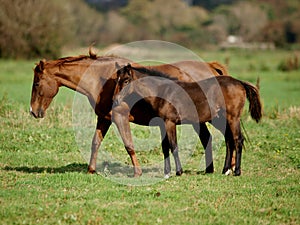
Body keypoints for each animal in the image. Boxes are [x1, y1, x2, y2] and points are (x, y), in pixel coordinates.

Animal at [29, 50, 227, 177]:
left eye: (37, 83)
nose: (33, 111)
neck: (101, 79)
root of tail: (209, 67)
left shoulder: (119, 117)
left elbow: (129, 145)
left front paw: (137, 172)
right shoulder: (104, 118)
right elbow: (95, 142)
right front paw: (91, 169)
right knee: (207, 138)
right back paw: (210, 170)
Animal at [112, 64, 262, 177]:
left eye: (126, 80)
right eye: (117, 80)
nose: (115, 100)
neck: (163, 91)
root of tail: (239, 82)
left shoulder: (170, 122)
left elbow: (173, 146)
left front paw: (179, 171)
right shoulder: (162, 124)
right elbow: (165, 147)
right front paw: (167, 173)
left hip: (232, 118)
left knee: (237, 139)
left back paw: (237, 171)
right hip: (220, 120)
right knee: (229, 140)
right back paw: (225, 170)